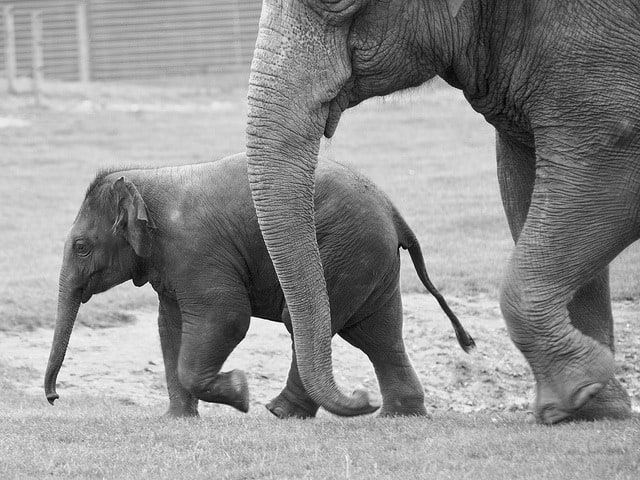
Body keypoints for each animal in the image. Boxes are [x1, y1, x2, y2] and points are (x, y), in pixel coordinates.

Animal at [45, 155, 472, 420]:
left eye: (81, 247)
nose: (54, 397)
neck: (144, 178)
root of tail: (393, 210)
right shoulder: (171, 265)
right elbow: (171, 328)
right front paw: (178, 418)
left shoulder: (197, 251)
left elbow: (227, 317)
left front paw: (240, 392)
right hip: (370, 261)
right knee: (377, 333)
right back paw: (399, 413)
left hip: (346, 252)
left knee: (305, 323)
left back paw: (280, 411)